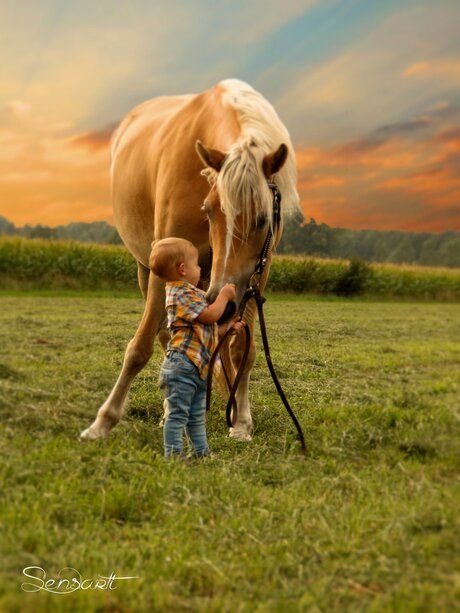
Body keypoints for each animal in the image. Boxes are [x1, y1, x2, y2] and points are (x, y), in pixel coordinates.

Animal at [81, 79, 300, 442]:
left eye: (262, 219)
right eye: (209, 210)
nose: (224, 300)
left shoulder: (257, 275)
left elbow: (241, 349)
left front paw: (241, 421)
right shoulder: (165, 266)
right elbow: (141, 346)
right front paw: (102, 422)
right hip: (148, 270)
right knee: (166, 337)